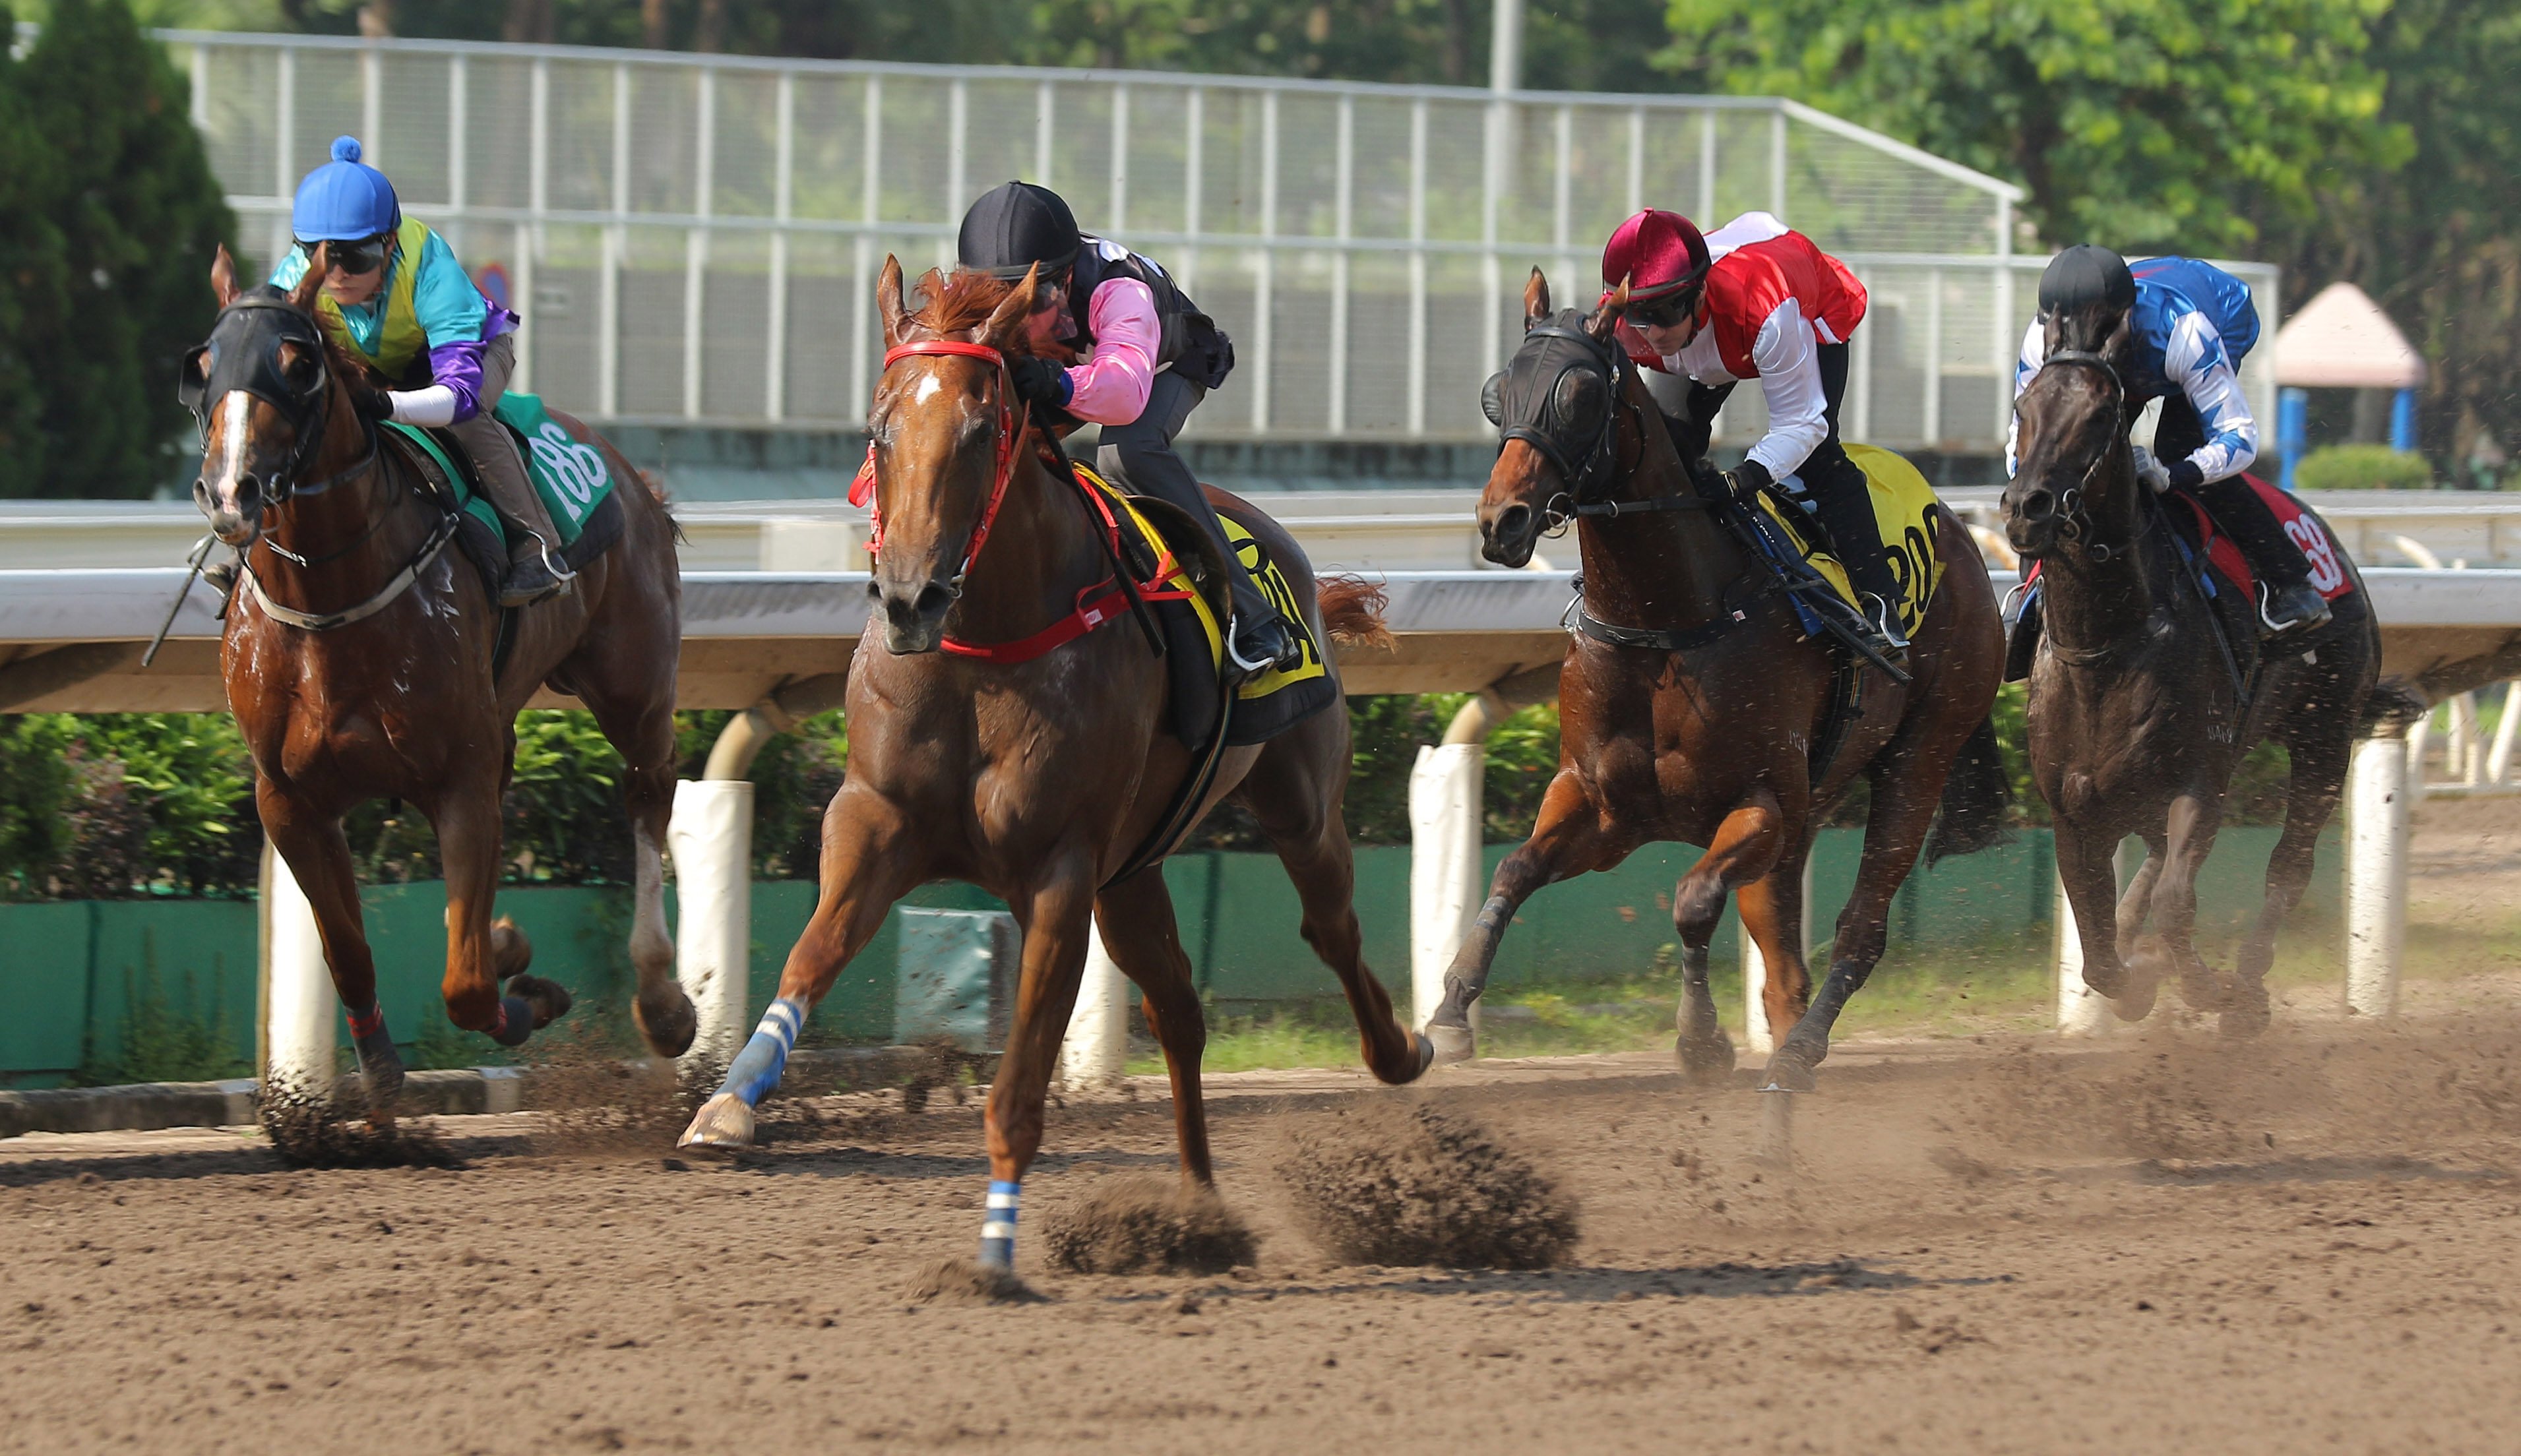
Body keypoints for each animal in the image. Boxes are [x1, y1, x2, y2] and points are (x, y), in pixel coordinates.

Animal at [184, 249, 700, 1108]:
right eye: (202, 365)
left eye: (297, 365)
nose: (230, 492)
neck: (331, 606)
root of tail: (630, 472)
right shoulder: (288, 796)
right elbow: (348, 950)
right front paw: (376, 1071)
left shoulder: (457, 773)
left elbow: (466, 985)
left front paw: (530, 998)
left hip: (634, 684)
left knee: (648, 790)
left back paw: (662, 1001)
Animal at [680, 263, 1431, 1269]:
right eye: (879, 430)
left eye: (980, 430)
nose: (909, 599)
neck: (985, 642)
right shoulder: (874, 819)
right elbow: (814, 953)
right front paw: (727, 1104)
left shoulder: (1059, 869)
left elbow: (1022, 1079)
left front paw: (996, 1248)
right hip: (1134, 870)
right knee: (1178, 1010)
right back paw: (1199, 1210)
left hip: (1298, 805)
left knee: (1330, 929)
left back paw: (1403, 1053)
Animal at [1442, 274, 2007, 1088]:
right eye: (1498, 393)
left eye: (1580, 395)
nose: (1502, 522)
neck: (1668, 623)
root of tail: (1962, 534)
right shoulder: (1602, 805)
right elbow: (1515, 870)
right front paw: (1451, 1010)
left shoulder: (1760, 803)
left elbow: (1693, 899)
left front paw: (1701, 1040)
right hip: (1814, 804)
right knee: (1786, 969)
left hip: (1919, 757)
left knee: (1862, 929)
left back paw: (1799, 1055)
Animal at [1997, 299, 2390, 1033]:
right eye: (2022, 406)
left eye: (2102, 416)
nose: (2026, 507)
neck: (2106, 648)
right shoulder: (2072, 805)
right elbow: (2095, 945)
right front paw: (2137, 980)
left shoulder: (2201, 779)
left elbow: (2179, 901)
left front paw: (2211, 990)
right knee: (2154, 866)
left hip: (2325, 732)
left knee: (2288, 865)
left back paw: (2249, 988)